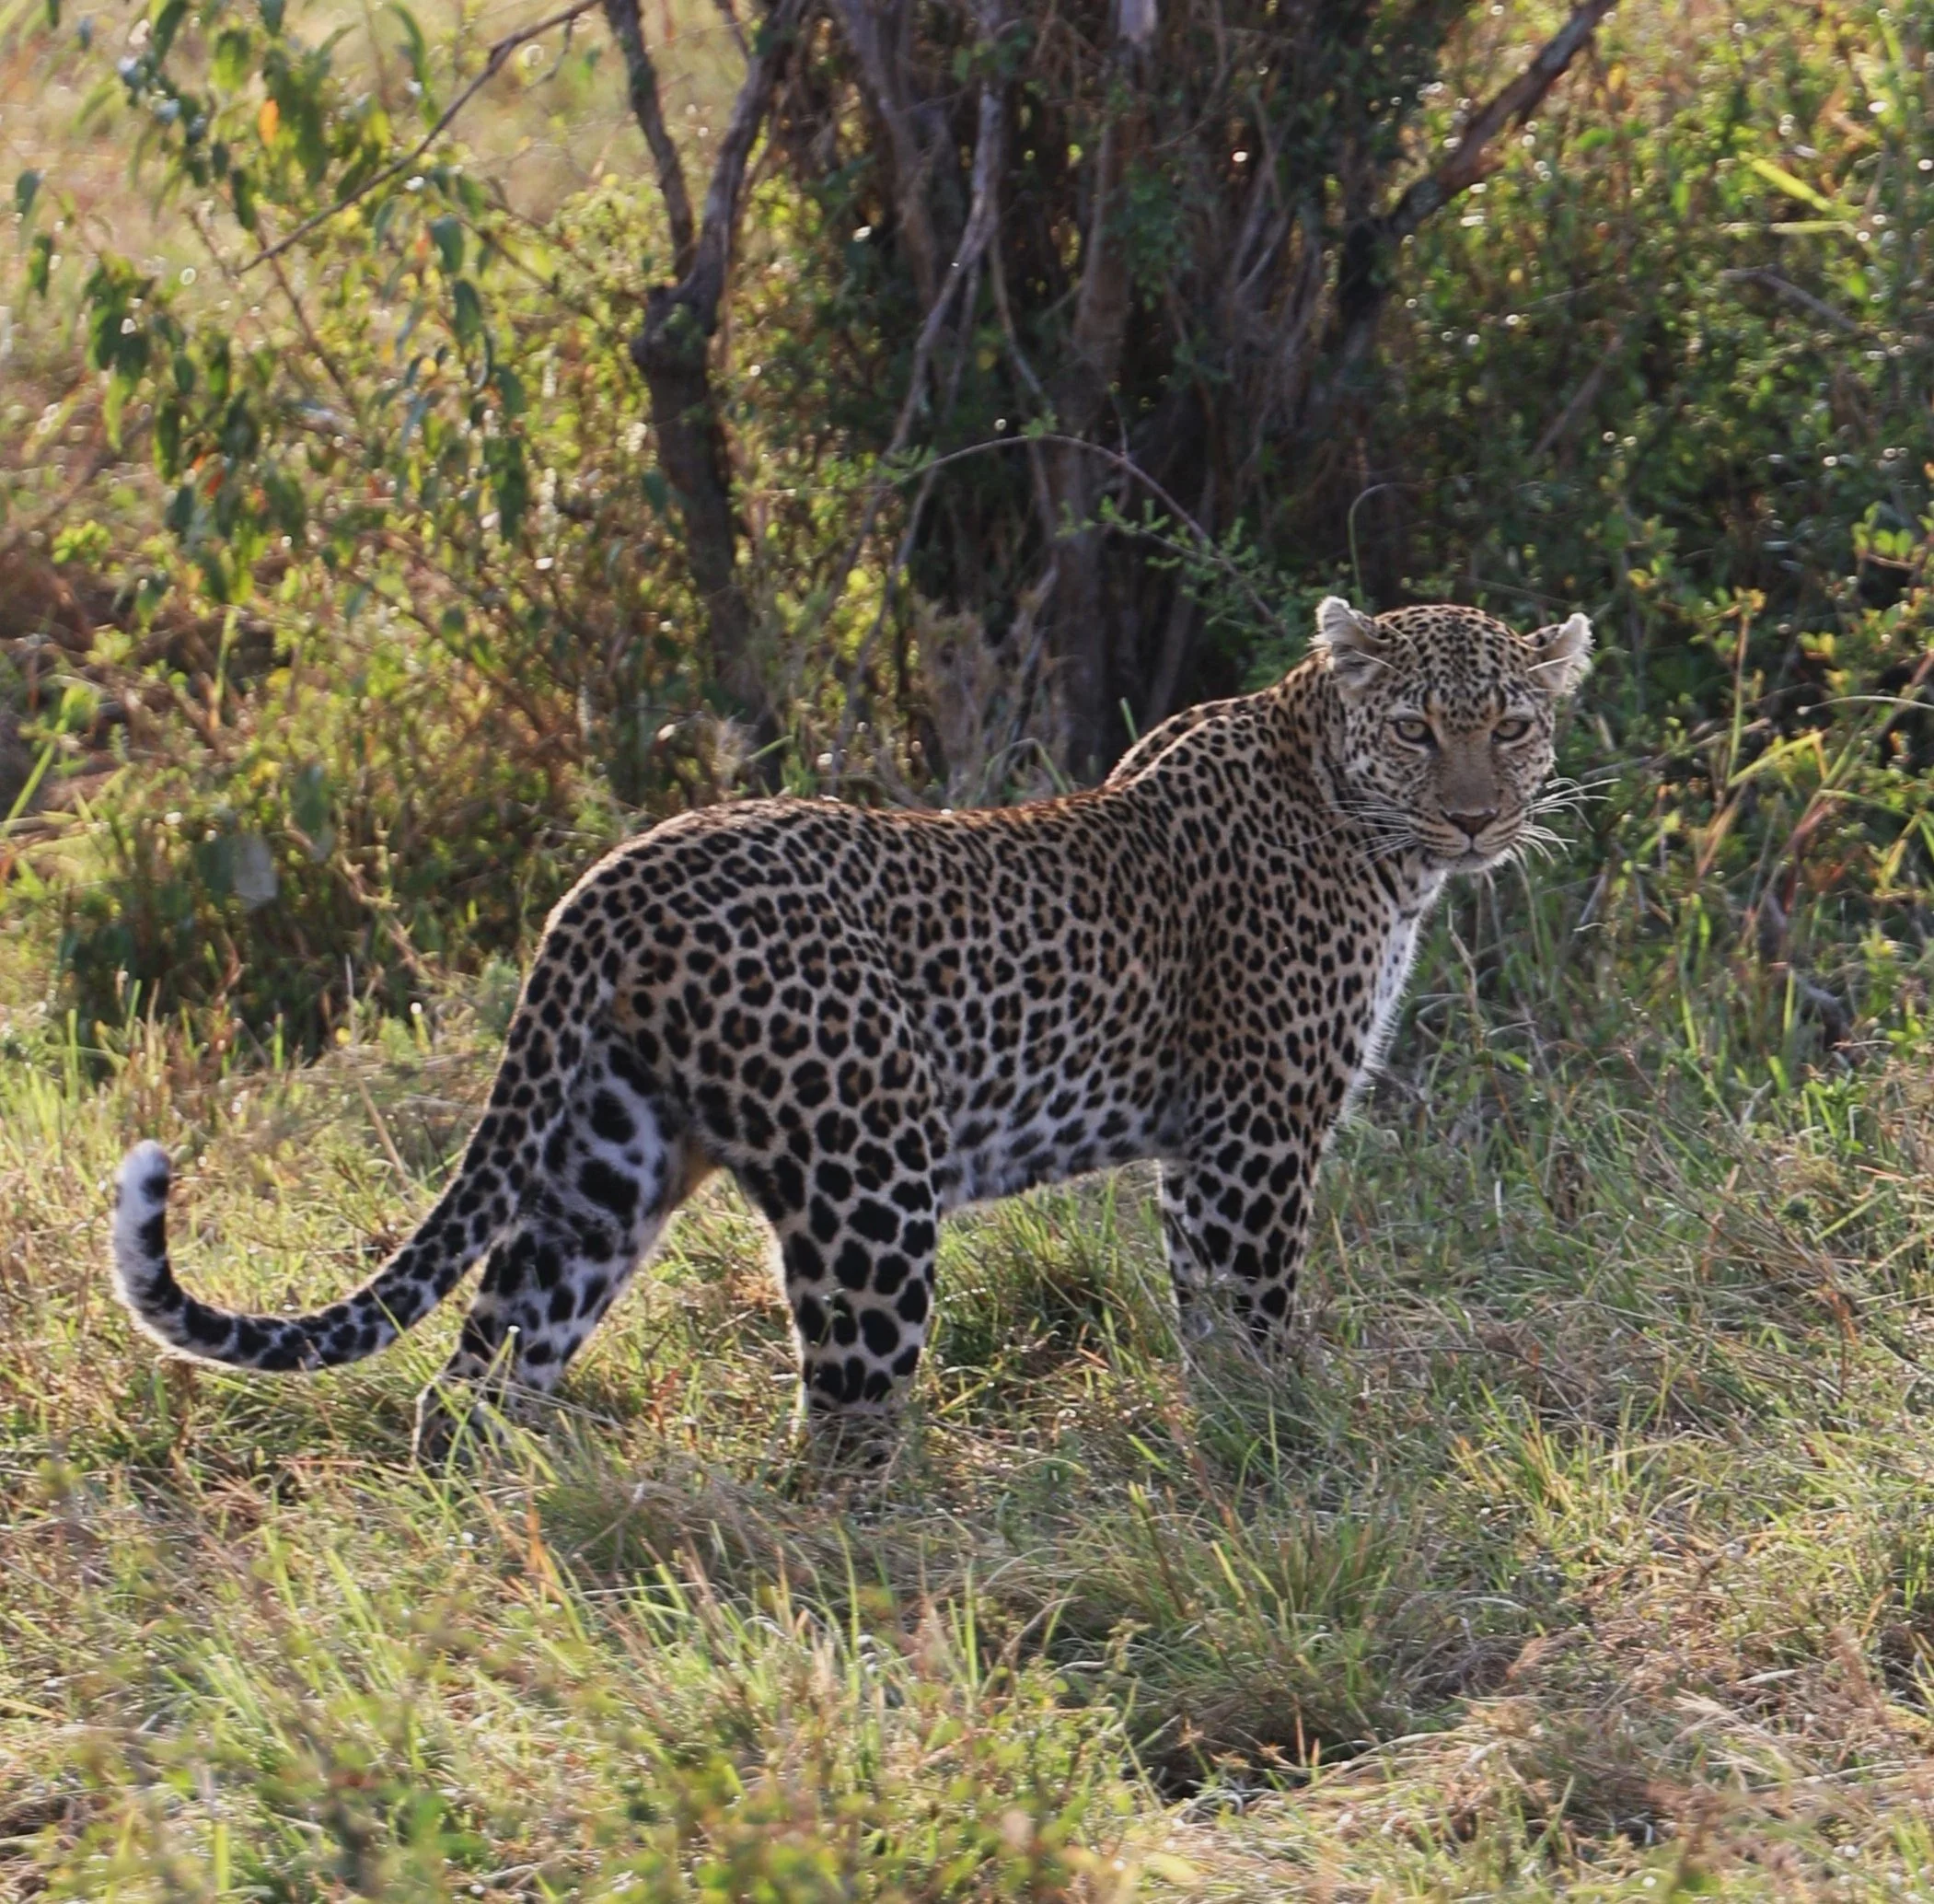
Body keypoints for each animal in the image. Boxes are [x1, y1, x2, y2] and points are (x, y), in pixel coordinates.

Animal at [110, 595, 1592, 1453]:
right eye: (1418, 729)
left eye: (1512, 727)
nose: (1476, 816)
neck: (1366, 835)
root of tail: (615, 875)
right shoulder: (1252, 1145)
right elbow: (1261, 1320)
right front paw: (1298, 1451)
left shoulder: (1200, 1159)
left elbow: (1210, 1331)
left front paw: (1236, 1445)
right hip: (867, 1179)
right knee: (839, 1430)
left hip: (603, 1164)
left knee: (481, 1373)